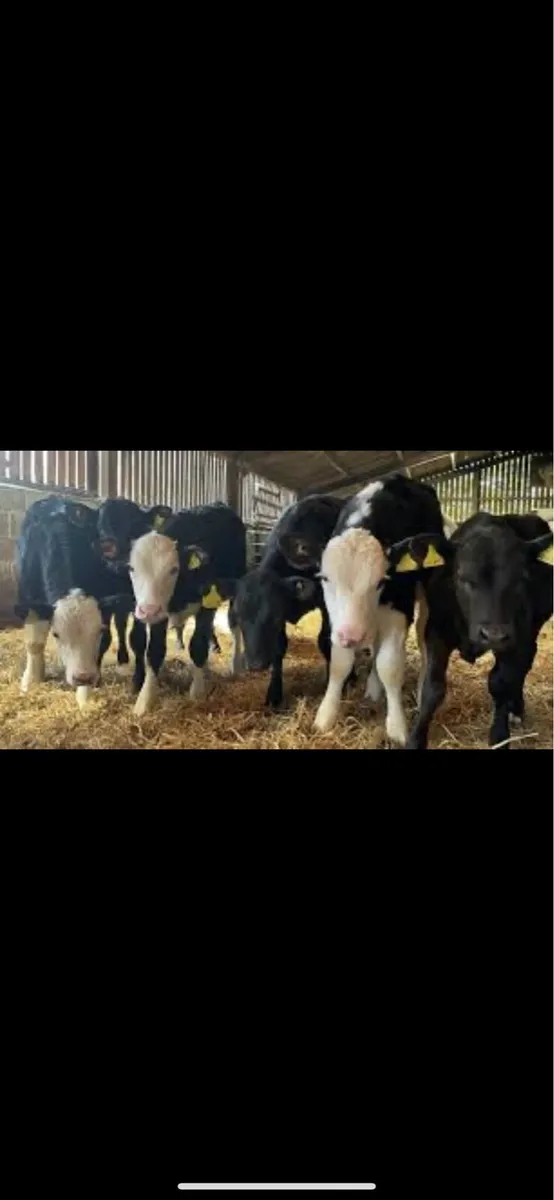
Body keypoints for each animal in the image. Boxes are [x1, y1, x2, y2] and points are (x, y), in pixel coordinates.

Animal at [15, 496, 134, 710]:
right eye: (56, 634)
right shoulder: (28, 598)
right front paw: (30, 681)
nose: (83, 677)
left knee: (120, 624)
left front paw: (84, 697)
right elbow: (34, 643)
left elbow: (103, 643)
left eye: (98, 631)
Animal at [116, 501, 247, 716]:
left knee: (234, 624)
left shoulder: (206, 605)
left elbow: (198, 645)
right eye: (131, 568)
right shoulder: (160, 614)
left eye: (173, 569)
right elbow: (154, 651)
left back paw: (235, 665)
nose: (147, 610)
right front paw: (145, 700)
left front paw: (197, 693)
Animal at [229, 494, 358, 708]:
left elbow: (325, 640)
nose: (256, 664)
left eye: (272, 617)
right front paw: (274, 693)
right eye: (239, 617)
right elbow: (279, 647)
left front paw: (339, 681)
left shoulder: (326, 603)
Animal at [313, 474, 447, 744]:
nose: (352, 636)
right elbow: (340, 663)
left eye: (381, 582)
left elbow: (390, 665)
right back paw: (373, 689)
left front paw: (397, 727)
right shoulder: (337, 622)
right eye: (325, 579)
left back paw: (419, 689)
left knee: (423, 634)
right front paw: (326, 715)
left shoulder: (398, 611)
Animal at [405, 511, 554, 750]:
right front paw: (416, 738)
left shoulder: (515, 640)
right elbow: (433, 688)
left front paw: (500, 736)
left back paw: (516, 709)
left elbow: (500, 683)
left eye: (521, 579)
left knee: (525, 664)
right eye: (463, 577)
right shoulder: (436, 632)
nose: (493, 635)